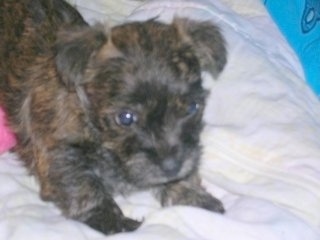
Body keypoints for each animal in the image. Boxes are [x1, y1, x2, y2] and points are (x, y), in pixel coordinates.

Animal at [0, 0, 226, 234]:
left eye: (192, 107)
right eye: (125, 118)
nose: (172, 166)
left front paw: (191, 195)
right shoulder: (58, 152)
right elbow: (83, 186)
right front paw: (111, 220)